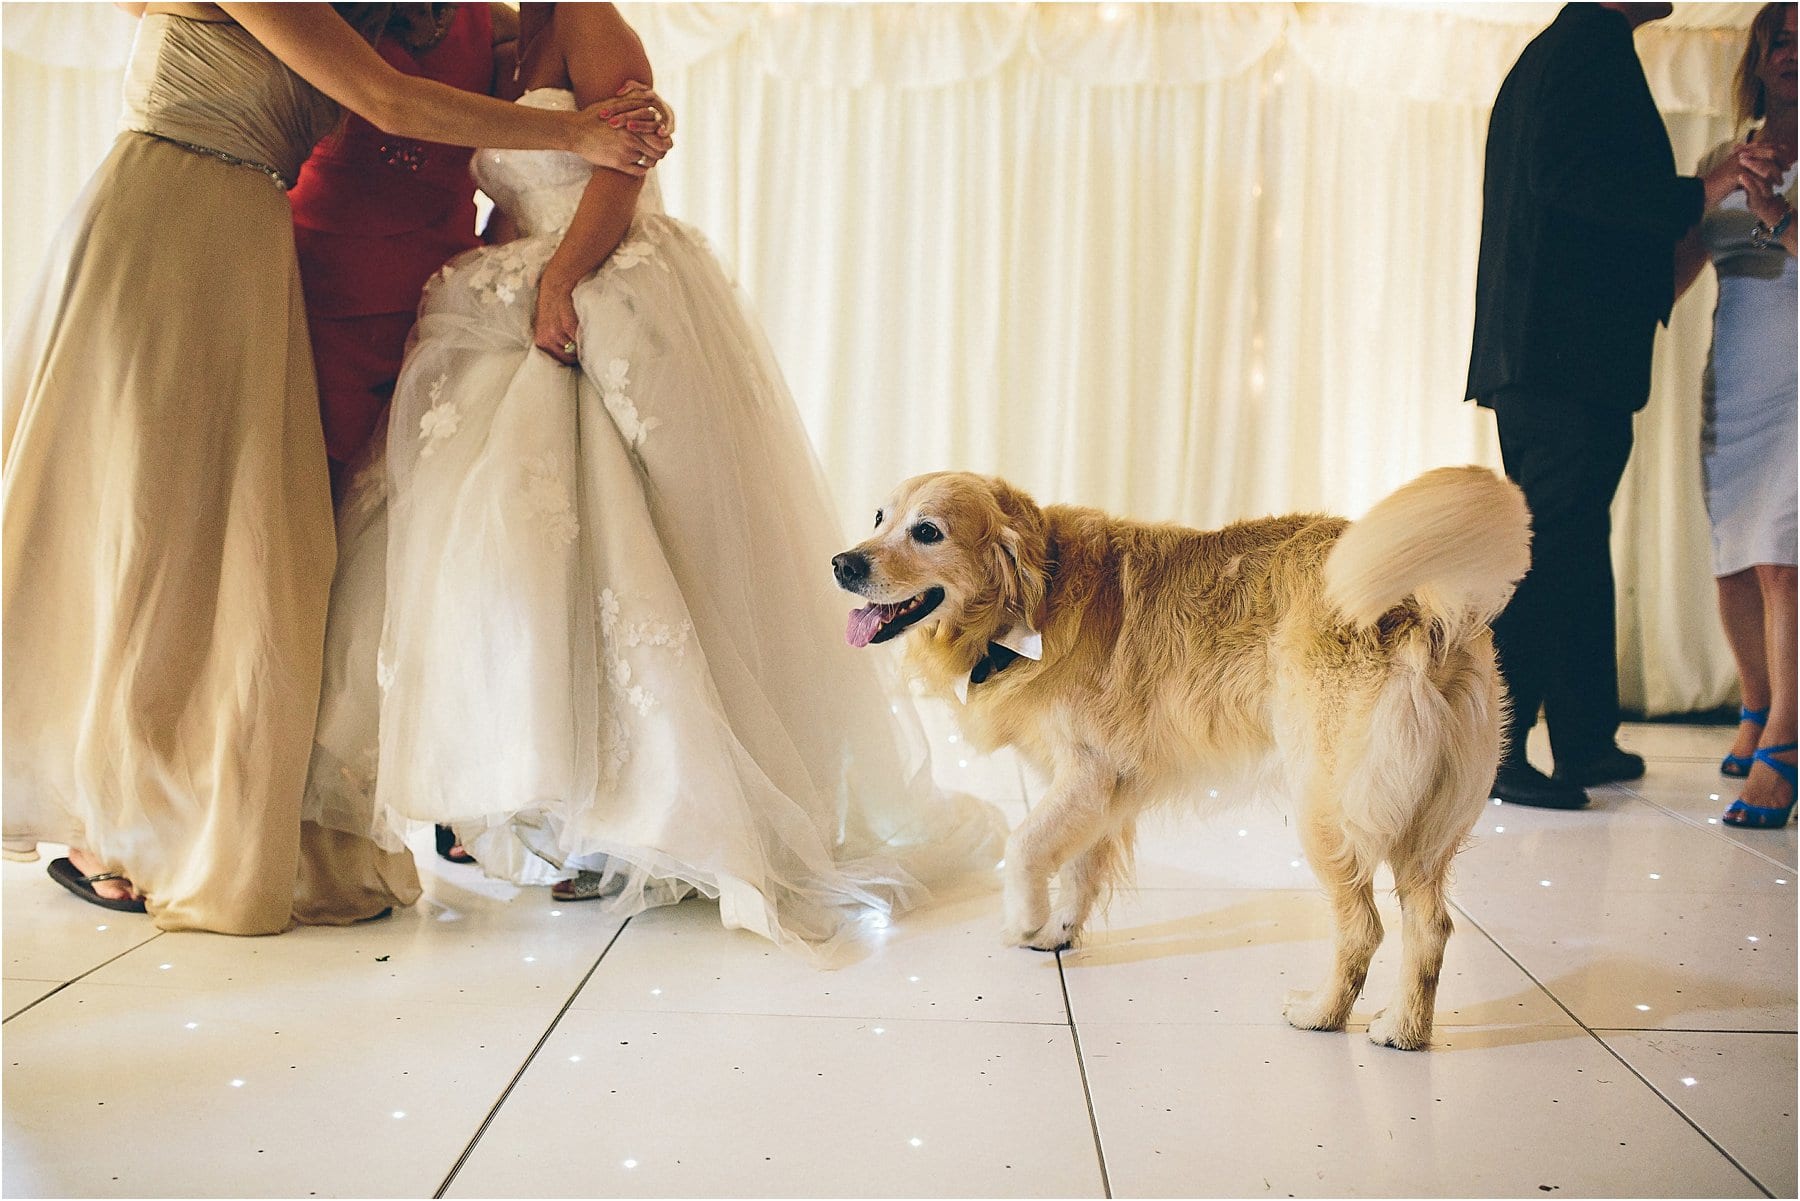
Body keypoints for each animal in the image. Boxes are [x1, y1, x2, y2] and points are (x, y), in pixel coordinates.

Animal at [835, 468, 1526, 1051]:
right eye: (878, 517)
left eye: (927, 531)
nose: (842, 562)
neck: (1036, 592)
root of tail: (1423, 611)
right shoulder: (1107, 788)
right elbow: (1079, 866)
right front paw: (1058, 932)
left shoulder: (1092, 771)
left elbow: (1026, 844)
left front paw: (1025, 920)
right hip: (1425, 829)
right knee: (1430, 929)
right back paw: (1402, 1029)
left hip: (1327, 812)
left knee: (1363, 928)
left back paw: (1321, 1015)